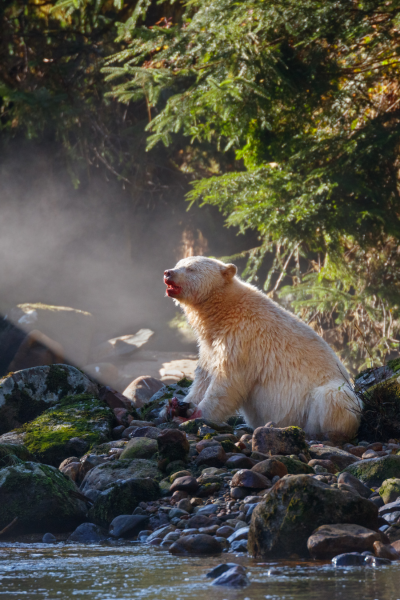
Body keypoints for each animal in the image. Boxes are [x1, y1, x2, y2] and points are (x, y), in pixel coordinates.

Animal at [162, 255, 360, 438]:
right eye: (179, 264)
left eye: (191, 269)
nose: (168, 273)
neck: (224, 310)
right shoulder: (210, 345)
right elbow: (203, 377)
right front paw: (175, 406)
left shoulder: (240, 339)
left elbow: (227, 381)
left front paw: (194, 414)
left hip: (332, 391)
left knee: (332, 397)